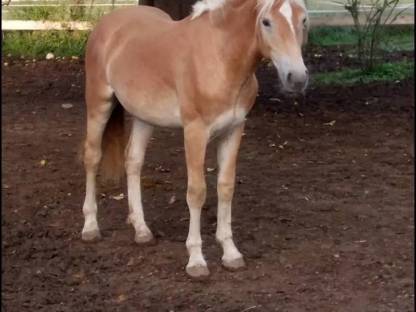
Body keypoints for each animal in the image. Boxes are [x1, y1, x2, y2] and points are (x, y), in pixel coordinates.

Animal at [82, 0, 308, 278]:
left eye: (303, 20)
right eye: (266, 22)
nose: (297, 78)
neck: (220, 58)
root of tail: (107, 23)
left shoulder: (234, 130)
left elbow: (225, 188)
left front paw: (231, 253)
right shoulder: (195, 132)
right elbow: (197, 192)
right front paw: (196, 260)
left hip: (144, 117)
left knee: (133, 161)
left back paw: (141, 229)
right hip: (98, 104)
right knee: (92, 157)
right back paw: (90, 226)